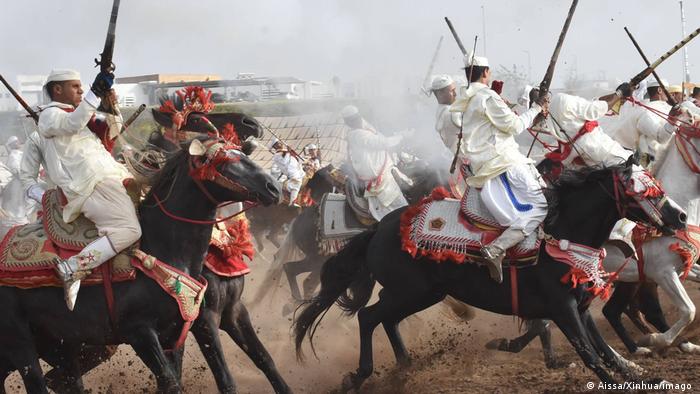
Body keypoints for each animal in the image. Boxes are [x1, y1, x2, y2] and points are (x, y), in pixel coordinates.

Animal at [294, 164, 684, 390]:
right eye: (644, 189)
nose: (680, 217)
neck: (562, 235)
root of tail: (379, 227)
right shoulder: (563, 309)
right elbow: (590, 353)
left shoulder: (580, 307)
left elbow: (605, 351)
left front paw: (642, 373)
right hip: (411, 292)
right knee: (368, 316)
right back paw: (360, 375)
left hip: (422, 294)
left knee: (382, 318)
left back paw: (405, 367)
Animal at [600, 127, 700, 356]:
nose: (680, 218)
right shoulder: (662, 273)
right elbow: (688, 310)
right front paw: (657, 339)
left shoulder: (683, 266)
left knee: (613, 310)